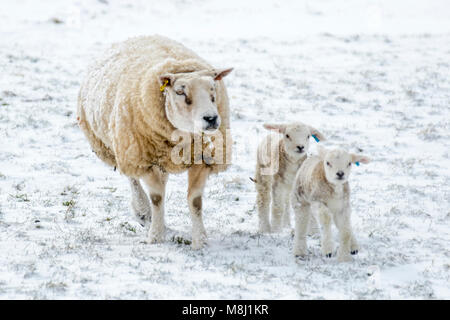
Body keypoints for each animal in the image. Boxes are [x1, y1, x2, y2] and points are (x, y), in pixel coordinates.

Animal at [76, 35, 234, 250]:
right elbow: (157, 199)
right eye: (180, 92)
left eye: (213, 89)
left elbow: (195, 202)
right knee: (133, 179)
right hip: (126, 149)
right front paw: (156, 237)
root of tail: (137, 36)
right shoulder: (146, 160)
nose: (211, 119)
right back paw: (143, 212)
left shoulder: (202, 159)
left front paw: (200, 240)